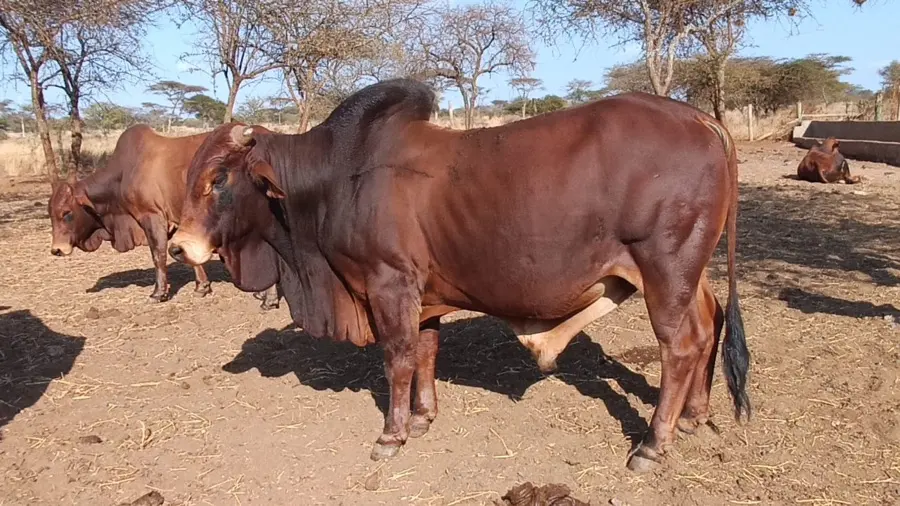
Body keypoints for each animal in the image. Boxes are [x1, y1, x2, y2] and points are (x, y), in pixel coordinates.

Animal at [48, 124, 279, 307]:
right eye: (50, 214)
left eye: (66, 213)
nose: (56, 250)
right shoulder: (181, 223)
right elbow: (188, 255)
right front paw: (202, 287)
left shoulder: (152, 217)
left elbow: (158, 255)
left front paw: (158, 293)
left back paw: (269, 299)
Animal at [168, 79, 750, 472]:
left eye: (219, 178)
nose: (178, 245)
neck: (331, 184)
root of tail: (702, 120)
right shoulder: (422, 297)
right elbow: (426, 351)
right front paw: (423, 418)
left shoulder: (389, 285)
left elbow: (398, 359)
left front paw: (392, 434)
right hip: (687, 273)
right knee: (709, 325)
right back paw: (694, 416)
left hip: (665, 269)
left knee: (680, 346)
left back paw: (652, 444)